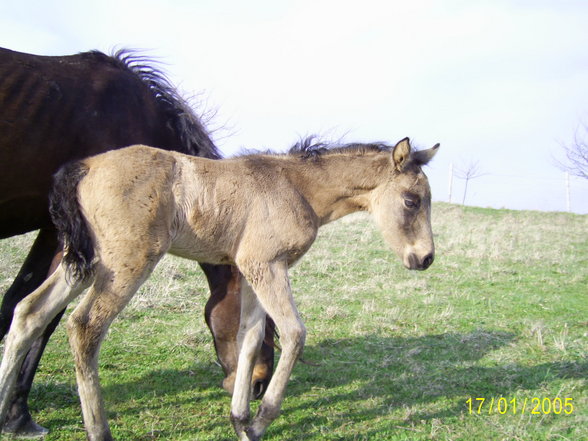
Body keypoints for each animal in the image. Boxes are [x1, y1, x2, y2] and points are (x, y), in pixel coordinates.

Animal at [0, 49, 274, 436]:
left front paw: (12, 414)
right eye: (265, 326)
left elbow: (19, 307)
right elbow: (38, 315)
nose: (259, 384)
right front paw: (19, 415)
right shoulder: (61, 234)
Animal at [0, 137, 436, 436]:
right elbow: (294, 333)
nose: (426, 258)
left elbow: (250, 335)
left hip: (84, 262)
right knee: (84, 326)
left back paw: (7, 416)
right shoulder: (267, 265)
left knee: (30, 312)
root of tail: (85, 166)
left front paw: (239, 418)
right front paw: (259, 423)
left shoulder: (254, 270)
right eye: (411, 201)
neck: (296, 187)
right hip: (125, 263)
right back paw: (98, 431)